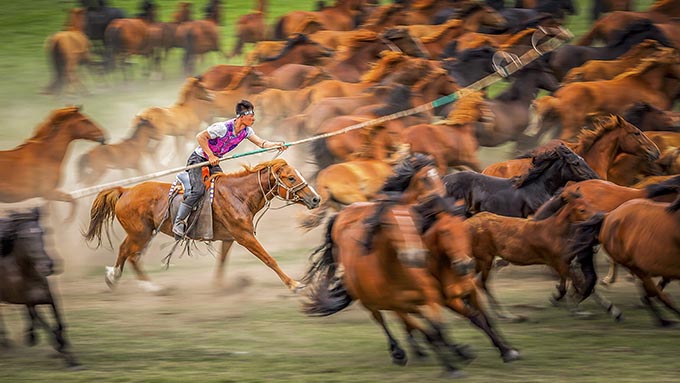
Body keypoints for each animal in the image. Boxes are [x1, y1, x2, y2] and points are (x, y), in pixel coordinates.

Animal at [0, 210, 79, 368]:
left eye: (44, 232)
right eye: (24, 237)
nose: (48, 266)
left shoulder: (49, 299)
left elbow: (60, 323)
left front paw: (63, 348)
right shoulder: (29, 302)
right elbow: (46, 325)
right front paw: (67, 357)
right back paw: (7, 342)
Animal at [83, 159, 322, 294]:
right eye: (291, 178)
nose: (316, 199)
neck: (238, 195)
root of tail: (125, 191)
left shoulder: (229, 238)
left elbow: (222, 262)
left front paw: (218, 287)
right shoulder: (244, 236)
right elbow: (269, 259)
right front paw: (294, 284)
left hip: (142, 233)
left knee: (128, 253)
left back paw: (121, 279)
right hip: (140, 233)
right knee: (129, 253)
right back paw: (145, 285)